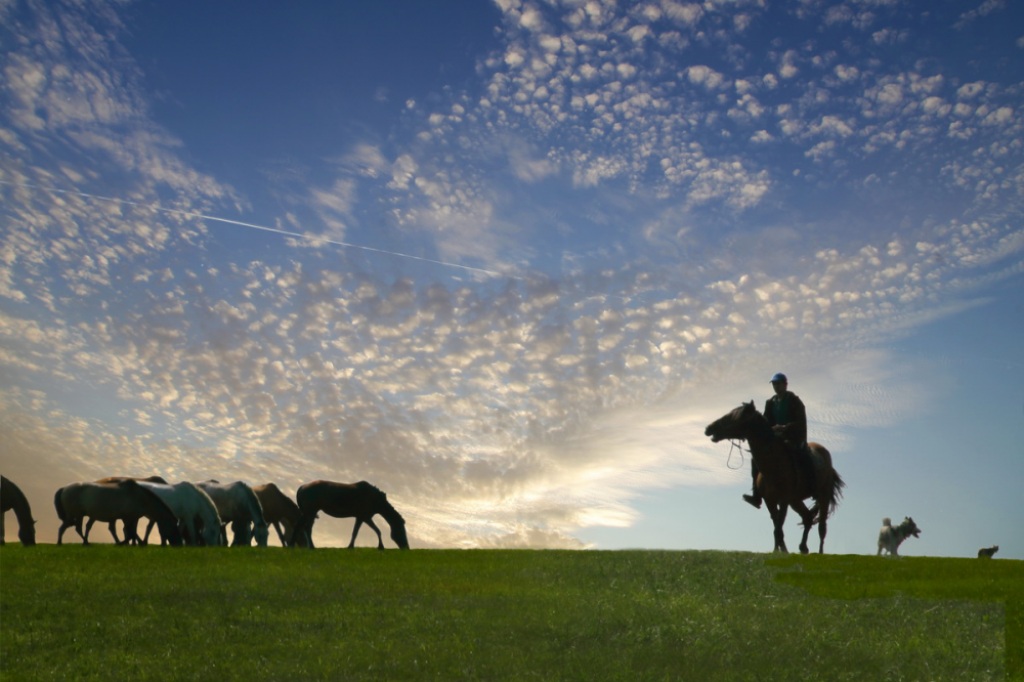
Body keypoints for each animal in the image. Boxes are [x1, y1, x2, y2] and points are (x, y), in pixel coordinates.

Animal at [54, 481, 183, 544]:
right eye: (174, 529)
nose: (178, 544)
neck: (140, 497)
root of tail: (64, 488)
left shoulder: (133, 518)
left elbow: (131, 532)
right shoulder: (127, 518)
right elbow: (130, 533)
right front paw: (124, 542)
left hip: (78, 515)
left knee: (75, 528)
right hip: (74, 515)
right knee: (67, 528)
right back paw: (65, 542)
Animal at [704, 399, 847, 552]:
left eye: (734, 417)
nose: (709, 428)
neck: (774, 464)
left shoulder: (784, 501)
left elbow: (778, 528)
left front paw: (782, 551)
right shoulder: (770, 501)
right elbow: (777, 528)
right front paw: (777, 550)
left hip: (822, 496)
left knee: (822, 527)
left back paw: (819, 553)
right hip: (795, 500)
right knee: (807, 517)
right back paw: (803, 548)